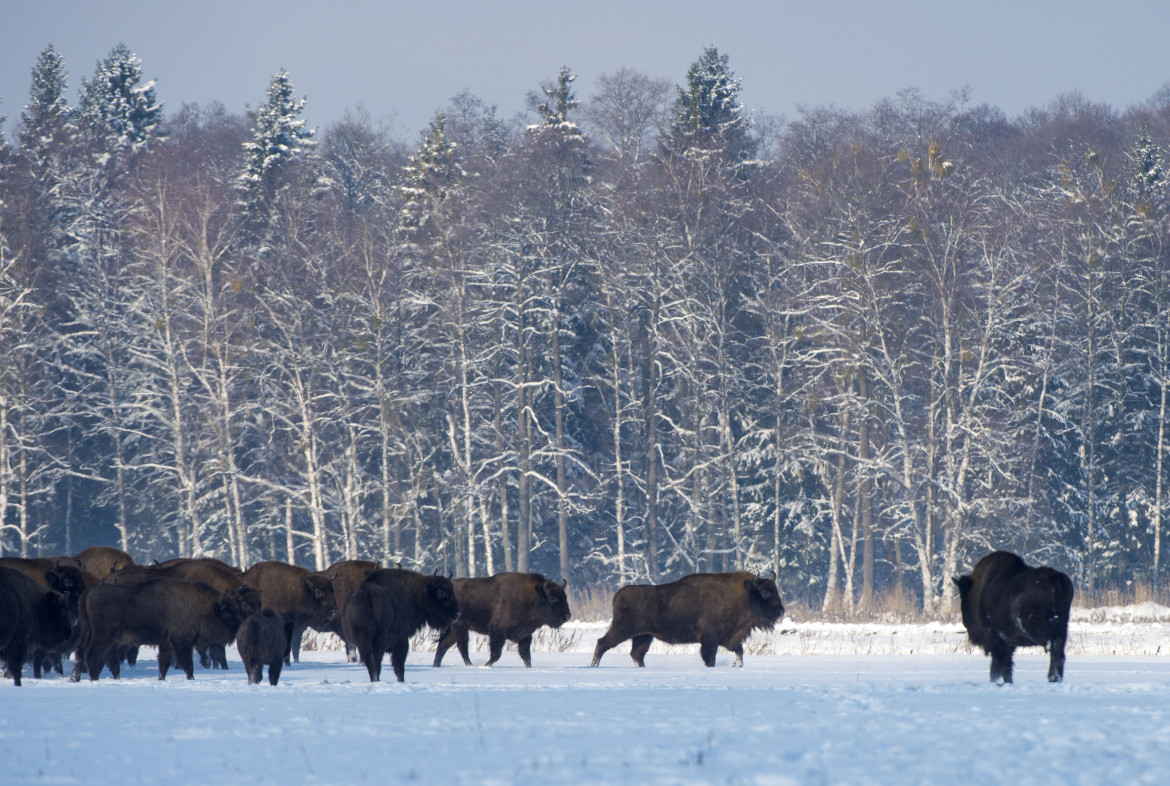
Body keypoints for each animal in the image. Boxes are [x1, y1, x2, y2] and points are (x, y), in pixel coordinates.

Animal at [73, 577, 246, 683]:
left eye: (238, 609)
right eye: (227, 613)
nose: (240, 626)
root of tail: (88, 593)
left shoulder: (166, 644)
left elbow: (163, 664)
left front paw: (161, 679)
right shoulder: (181, 644)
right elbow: (187, 664)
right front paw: (191, 679)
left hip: (94, 636)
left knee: (84, 653)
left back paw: (76, 678)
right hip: (103, 637)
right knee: (92, 654)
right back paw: (93, 679)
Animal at [435, 570, 570, 669]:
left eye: (565, 596)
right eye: (553, 598)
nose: (567, 616)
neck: (533, 597)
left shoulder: (525, 636)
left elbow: (526, 656)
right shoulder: (498, 633)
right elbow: (496, 654)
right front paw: (485, 666)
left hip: (455, 629)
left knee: (444, 645)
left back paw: (436, 665)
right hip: (460, 627)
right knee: (461, 646)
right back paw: (470, 665)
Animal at [594, 570, 786, 669]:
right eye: (766, 592)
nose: (781, 611)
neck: (745, 595)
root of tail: (618, 594)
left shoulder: (730, 639)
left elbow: (740, 652)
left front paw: (736, 665)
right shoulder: (710, 640)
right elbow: (710, 659)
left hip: (644, 636)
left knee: (637, 654)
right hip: (623, 630)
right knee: (603, 643)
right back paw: (594, 665)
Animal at [954, 549, 1071, 683]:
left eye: (963, 595)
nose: (966, 622)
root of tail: (1054, 579)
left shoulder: (997, 641)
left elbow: (1001, 668)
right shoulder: (1007, 644)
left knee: (1052, 648)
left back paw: (1052, 677)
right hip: (1062, 628)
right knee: (1059, 653)